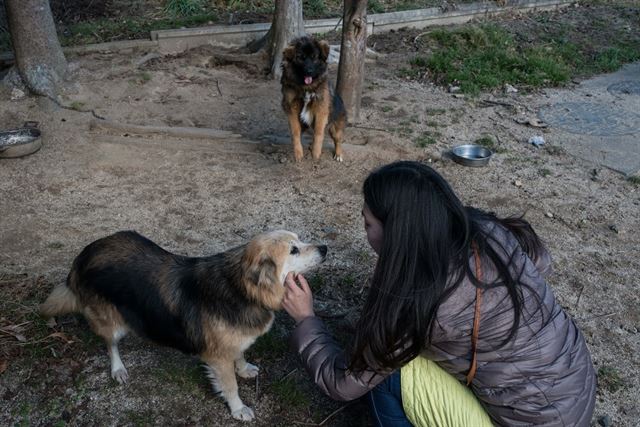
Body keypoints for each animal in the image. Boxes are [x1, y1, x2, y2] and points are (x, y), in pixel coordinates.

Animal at [40, 231, 328, 422]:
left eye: (301, 240)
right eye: (293, 250)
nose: (325, 248)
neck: (241, 289)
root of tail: (84, 255)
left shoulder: (232, 342)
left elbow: (240, 353)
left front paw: (244, 367)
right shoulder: (217, 357)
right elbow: (230, 386)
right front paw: (238, 409)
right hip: (111, 322)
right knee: (110, 344)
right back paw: (118, 368)